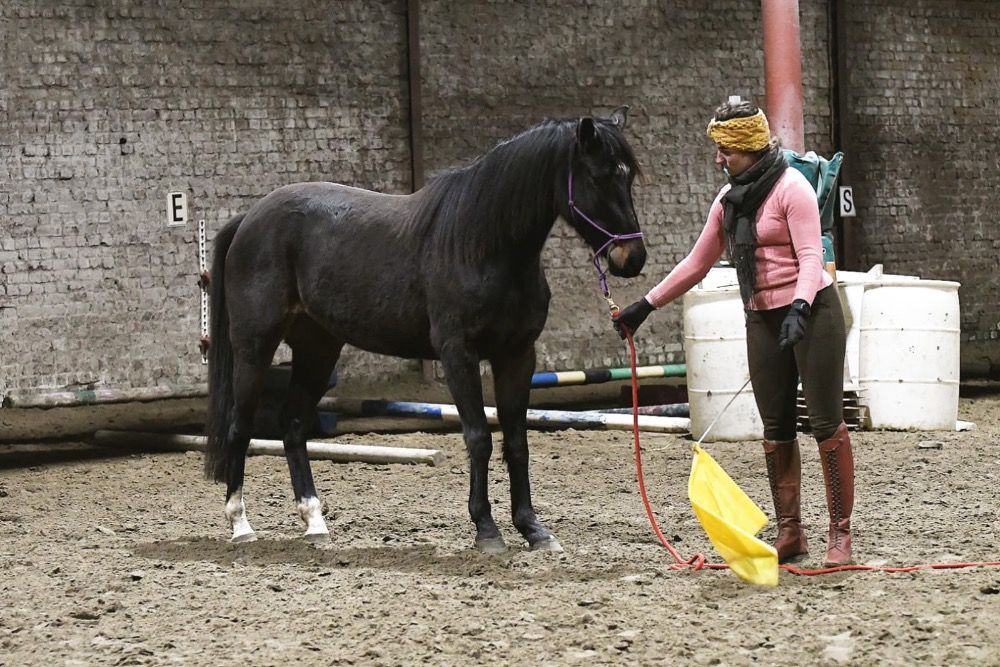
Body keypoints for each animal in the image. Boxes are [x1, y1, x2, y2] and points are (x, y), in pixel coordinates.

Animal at [204, 106, 647, 553]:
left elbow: (517, 442)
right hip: (254, 346)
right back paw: (241, 526)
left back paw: (315, 524)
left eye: (629, 176)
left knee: (293, 426)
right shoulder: (458, 355)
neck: (483, 244)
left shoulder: (518, 355)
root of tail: (249, 219)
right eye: (599, 176)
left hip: (318, 348)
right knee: (239, 425)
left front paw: (533, 529)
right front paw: (487, 530)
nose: (633, 258)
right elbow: (478, 437)